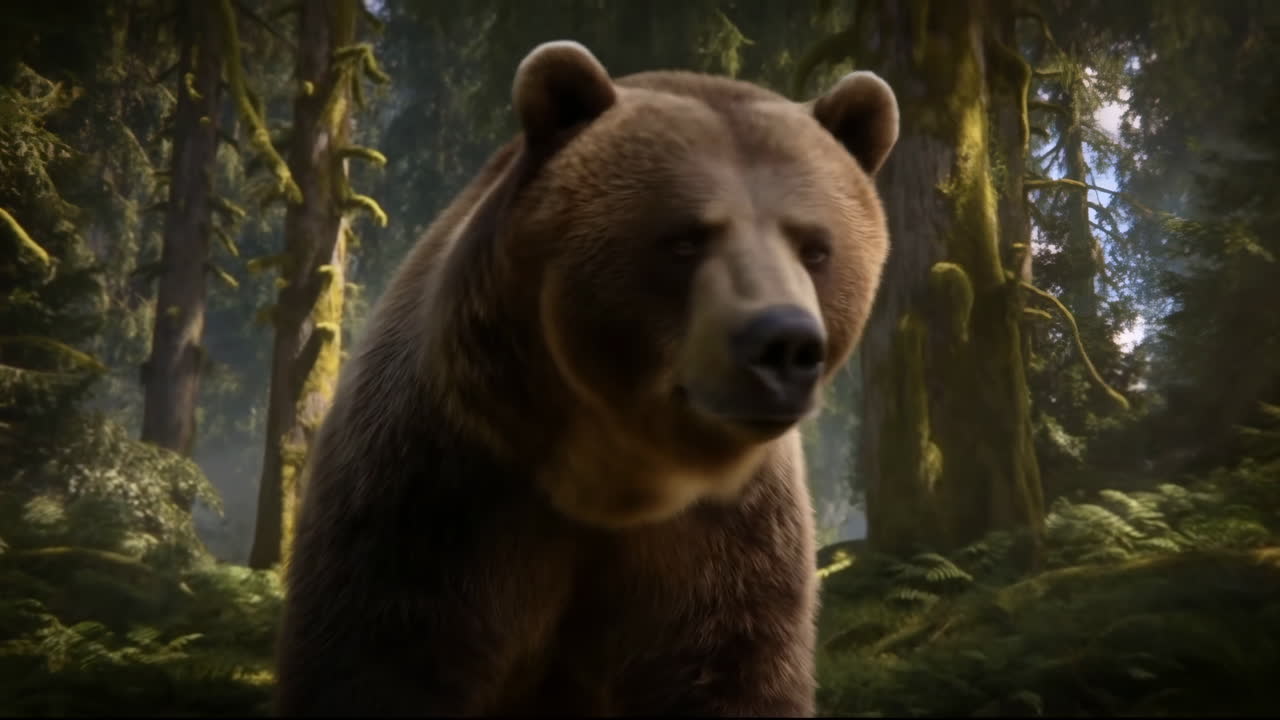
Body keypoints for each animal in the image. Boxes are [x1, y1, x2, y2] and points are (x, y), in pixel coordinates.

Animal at [273, 40, 898, 717]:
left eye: (815, 247)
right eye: (684, 239)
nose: (782, 343)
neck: (610, 478)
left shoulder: (730, 546)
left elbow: (736, 674)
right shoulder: (433, 501)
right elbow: (379, 665)